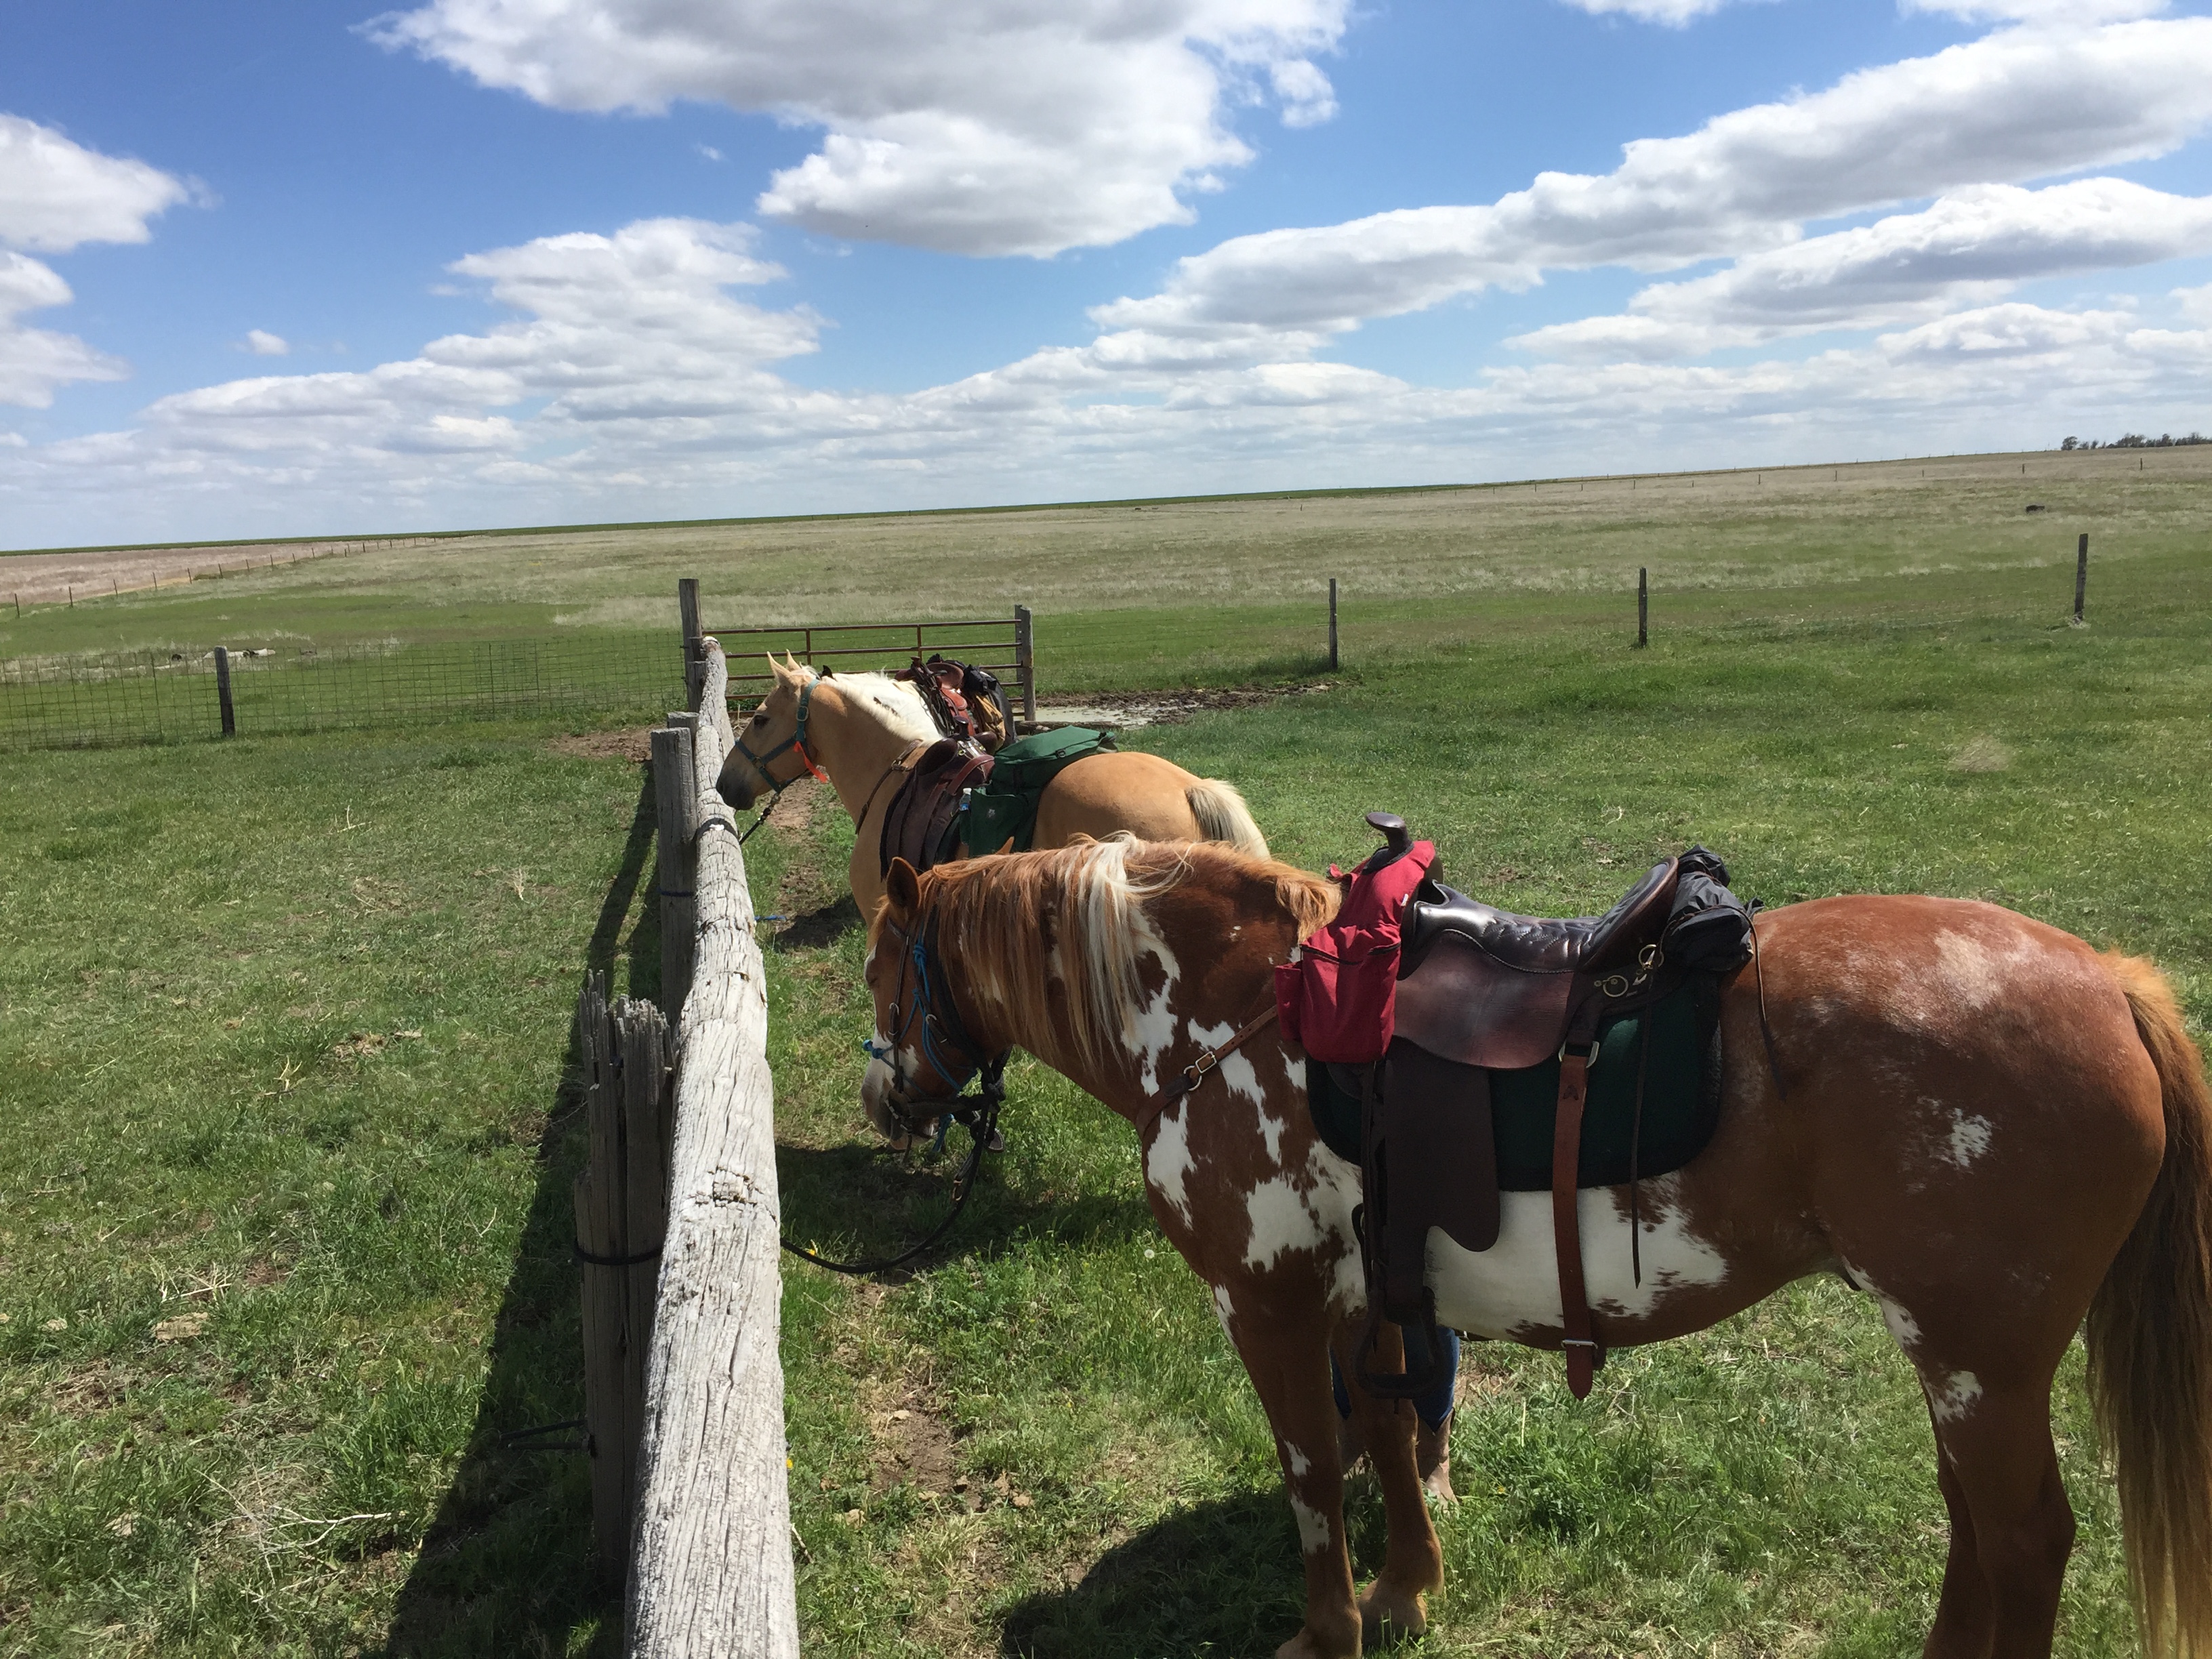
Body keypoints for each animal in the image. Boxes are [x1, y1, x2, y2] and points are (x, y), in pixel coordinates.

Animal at [855, 837, 2212, 1659]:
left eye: (882, 972)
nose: (885, 1102)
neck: (1233, 1014)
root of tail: (2109, 982)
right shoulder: (1365, 1292)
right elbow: (1388, 1433)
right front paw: (1407, 1586)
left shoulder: (1265, 1304)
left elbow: (1311, 1472)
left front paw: (1330, 1627)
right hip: (1957, 1363)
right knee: (1973, 1523)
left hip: (1980, 1362)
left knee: (2024, 1538)